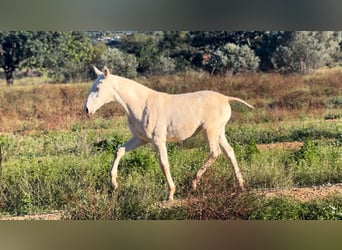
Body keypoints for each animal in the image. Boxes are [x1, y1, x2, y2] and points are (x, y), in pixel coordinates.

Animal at [84, 66, 252, 201]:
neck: (141, 105)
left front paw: (170, 194)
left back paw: (194, 183)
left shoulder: (158, 140)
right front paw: (114, 185)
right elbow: (119, 151)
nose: (86, 109)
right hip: (219, 132)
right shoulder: (140, 139)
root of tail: (226, 98)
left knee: (215, 152)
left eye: (98, 88)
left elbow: (164, 164)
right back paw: (241, 186)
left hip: (210, 131)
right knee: (229, 152)